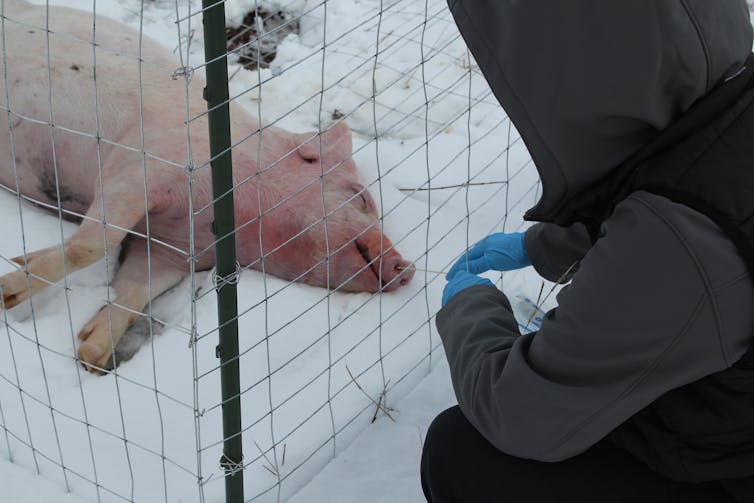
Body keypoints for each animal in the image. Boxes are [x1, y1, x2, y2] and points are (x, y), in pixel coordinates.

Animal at [0, 0, 414, 374]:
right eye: (360, 196)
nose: (406, 266)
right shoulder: (139, 165)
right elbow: (92, 245)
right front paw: (9, 285)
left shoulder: (173, 250)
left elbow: (135, 288)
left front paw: (91, 357)